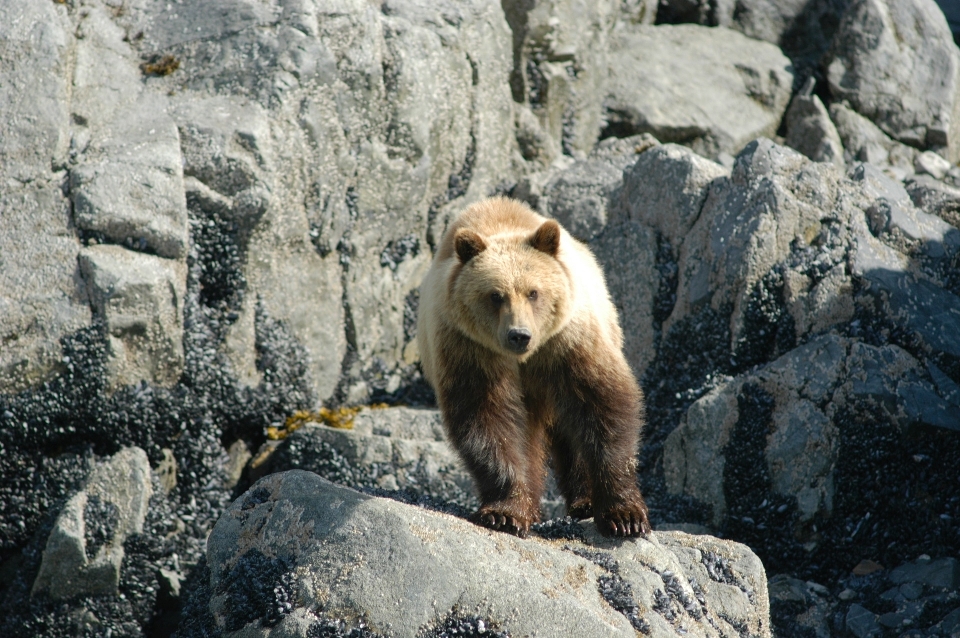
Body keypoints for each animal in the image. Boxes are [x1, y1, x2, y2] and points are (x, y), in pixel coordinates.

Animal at [418, 196, 652, 540]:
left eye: (533, 292)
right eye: (495, 295)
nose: (519, 335)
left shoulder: (567, 342)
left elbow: (603, 406)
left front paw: (625, 516)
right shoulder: (470, 350)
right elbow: (487, 420)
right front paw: (506, 512)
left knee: (569, 429)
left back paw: (583, 501)